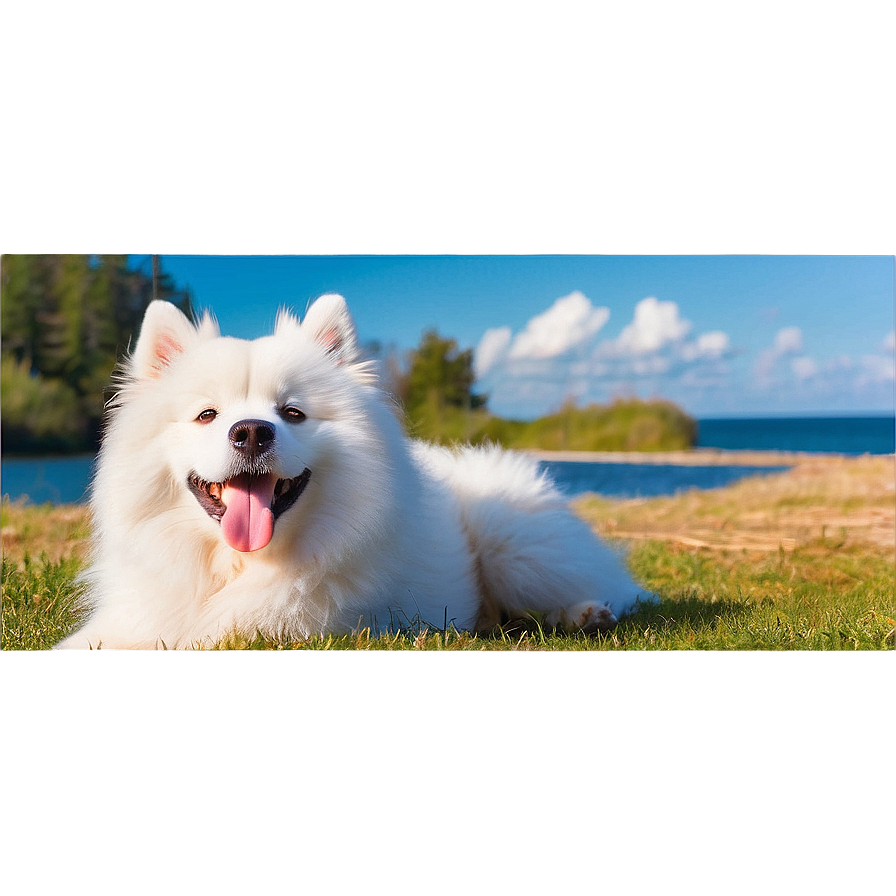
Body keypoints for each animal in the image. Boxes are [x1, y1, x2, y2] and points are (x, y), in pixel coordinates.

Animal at [54, 298, 644, 648]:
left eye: (292, 413)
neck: (236, 567)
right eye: (207, 415)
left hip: (515, 545)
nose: (252, 432)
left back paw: (585, 613)